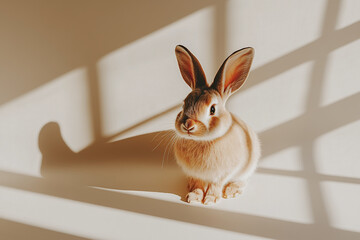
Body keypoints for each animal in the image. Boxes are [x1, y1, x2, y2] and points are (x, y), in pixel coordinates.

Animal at [173, 45, 260, 204]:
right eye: (183, 104)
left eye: (212, 109)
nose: (188, 125)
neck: (202, 141)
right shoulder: (195, 174)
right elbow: (198, 184)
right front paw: (193, 197)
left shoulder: (223, 173)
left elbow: (215, 185)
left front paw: (210, 199)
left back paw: (232, 191)